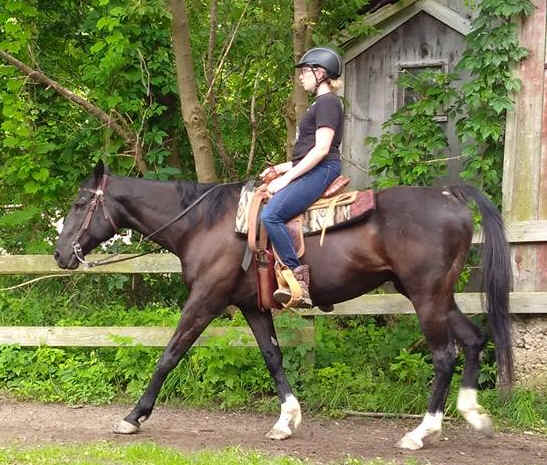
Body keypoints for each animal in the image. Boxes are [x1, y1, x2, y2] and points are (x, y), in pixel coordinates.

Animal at [55, 163, 512, 450]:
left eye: (78, 204)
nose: (60, 255)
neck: (204, 224)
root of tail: (450, 196)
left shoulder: (205, 299)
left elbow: (170, 354)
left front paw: (133, 416)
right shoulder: (252, 307)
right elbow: (273, 357)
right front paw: (286, 421)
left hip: (426, 296)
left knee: (444, 354)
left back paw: (420, 433)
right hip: (435, 295)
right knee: (474, 340)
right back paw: (474, 414)